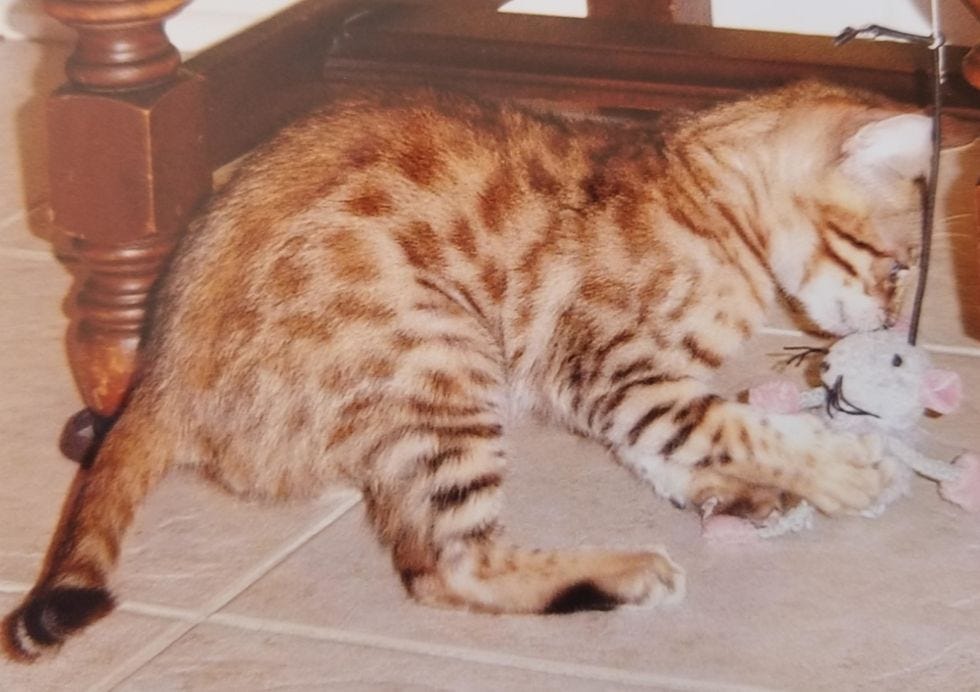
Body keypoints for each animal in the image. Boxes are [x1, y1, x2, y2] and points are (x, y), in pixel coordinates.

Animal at [3, 80, 930, 661]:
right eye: (896, 266)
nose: (892, 326)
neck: (708, 193)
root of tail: (158, 370)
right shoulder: (615, 372)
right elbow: (726, 424)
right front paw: (842, 470)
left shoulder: (620, 389)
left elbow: (677, 448)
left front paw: (731, 493)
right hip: (441, 356)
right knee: (443, 567)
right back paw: (619, 574)